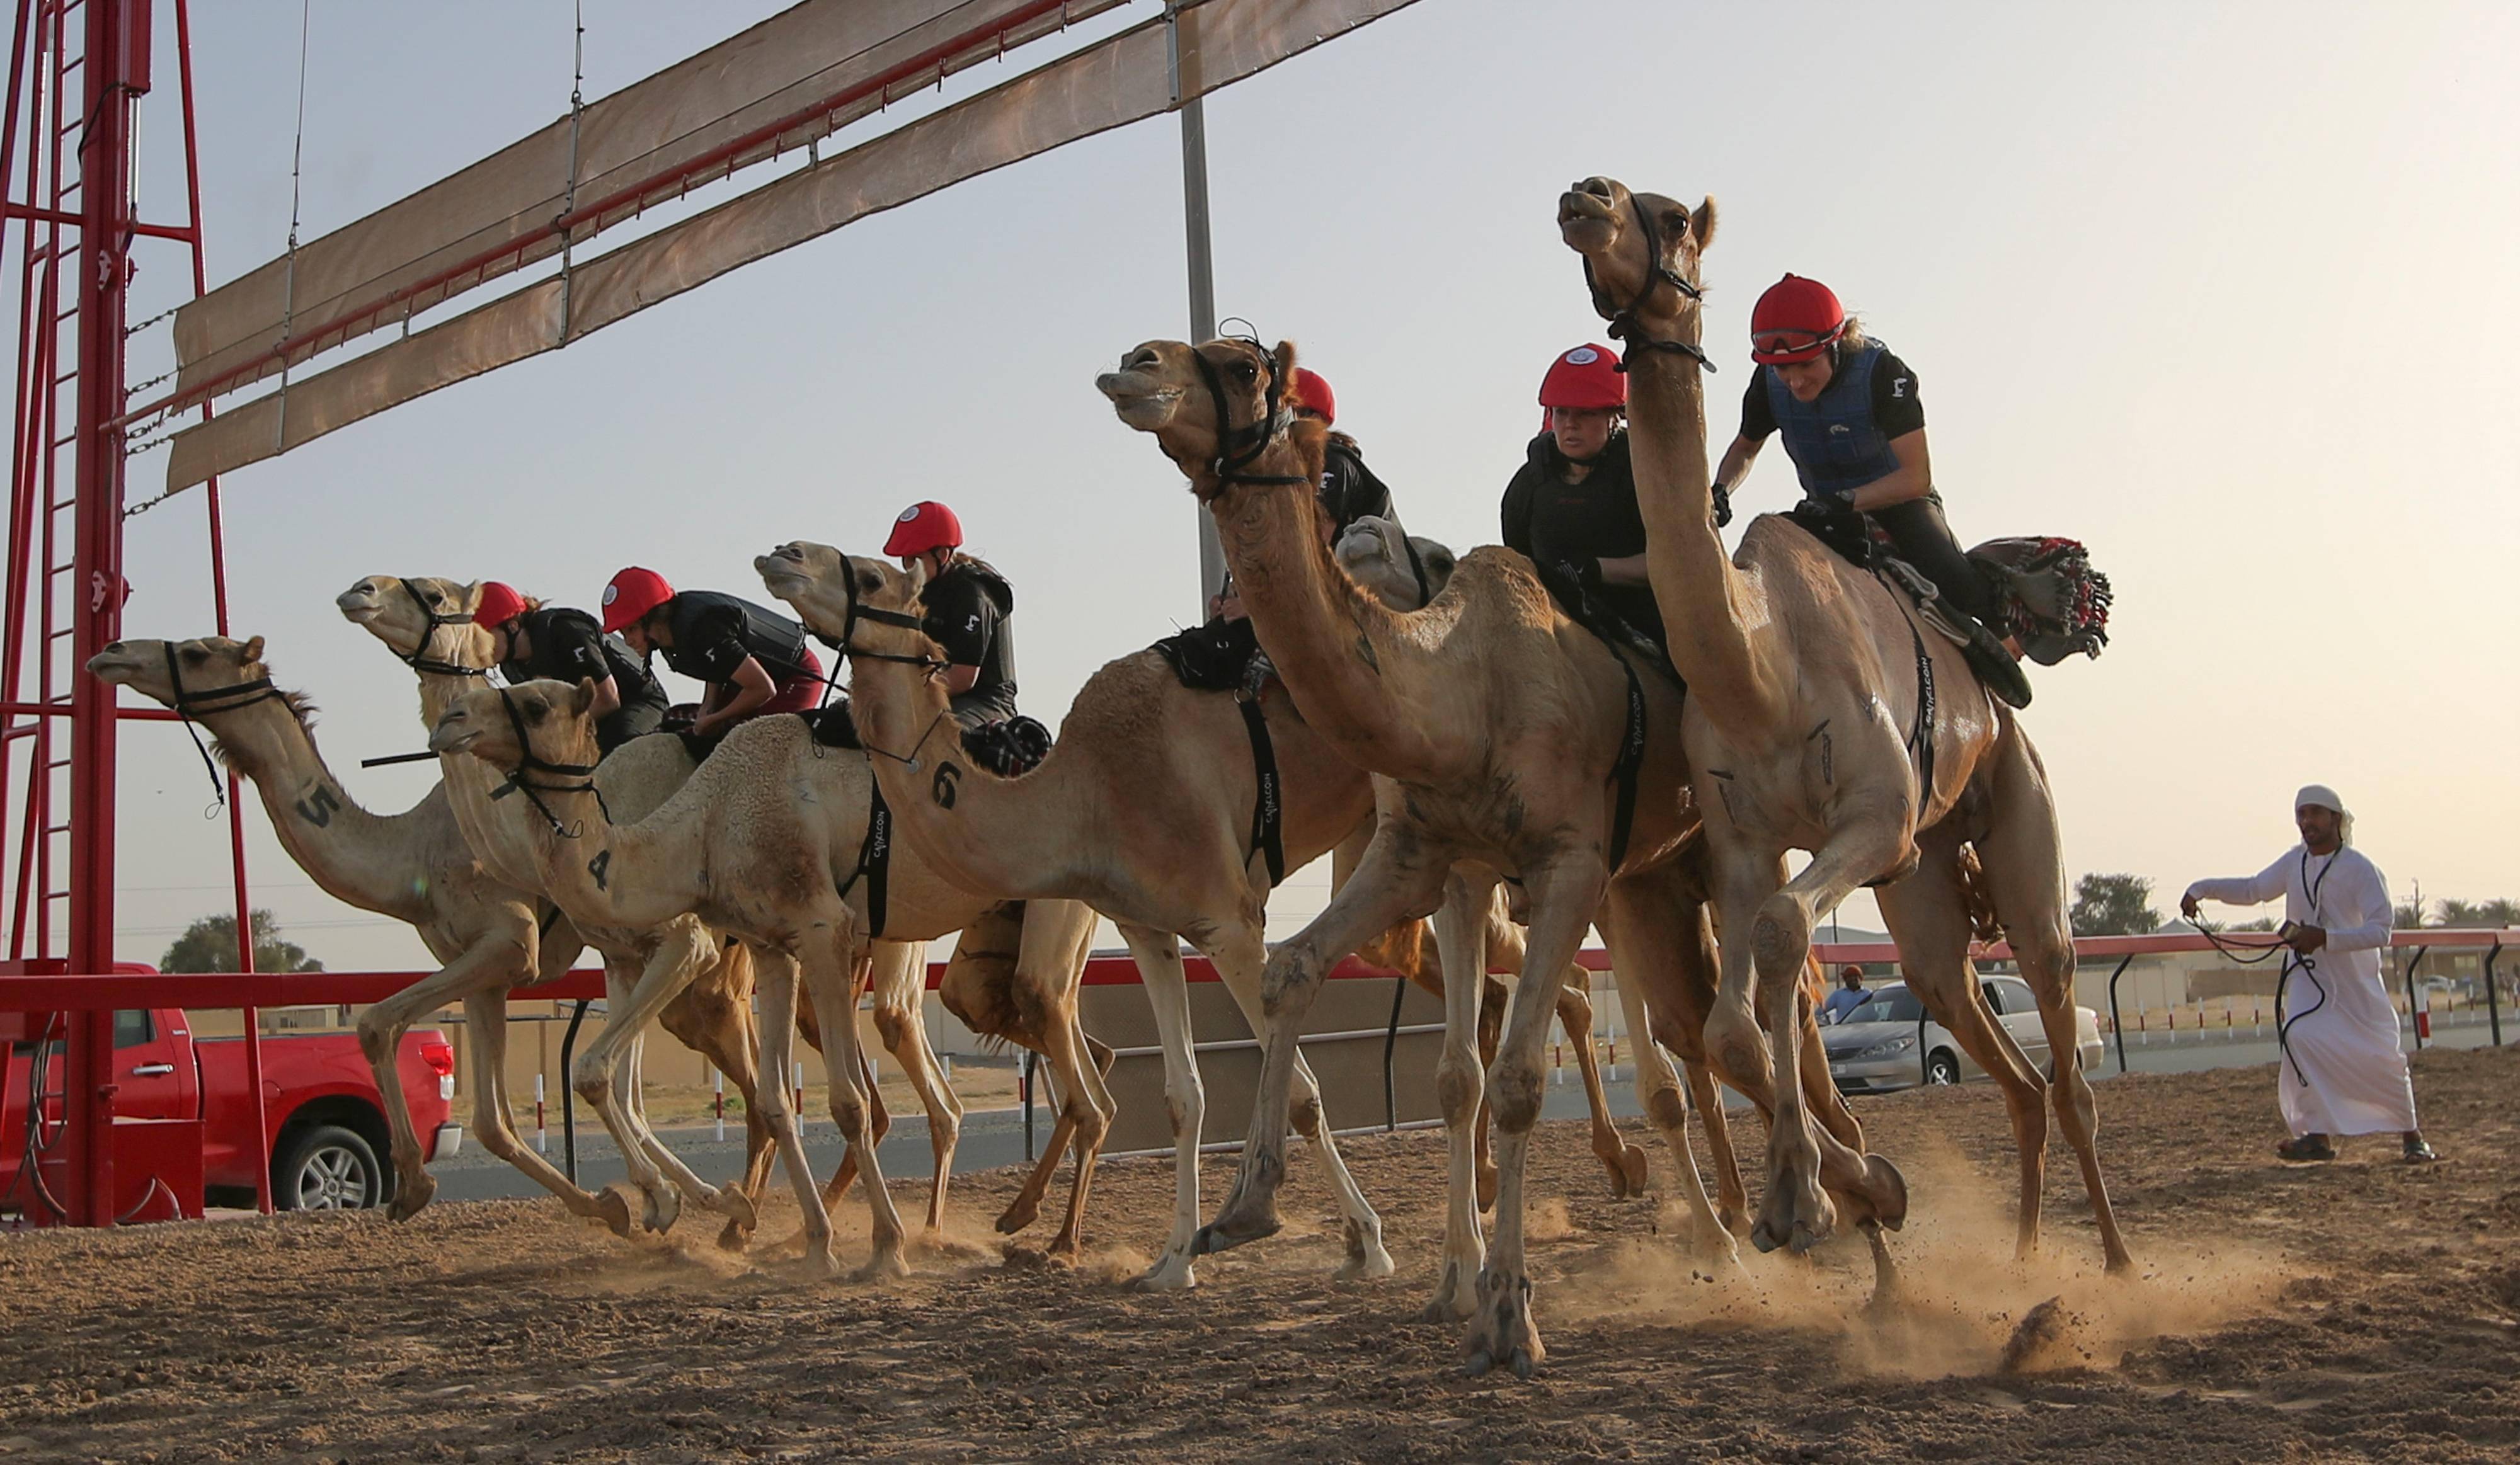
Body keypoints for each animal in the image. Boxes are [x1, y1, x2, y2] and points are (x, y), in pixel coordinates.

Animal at [343, 579, 983, 1248]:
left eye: (433, 593)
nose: (358, 592)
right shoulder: (618, 954)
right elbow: (622, 1086)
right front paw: (666, 1203)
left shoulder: (686, 947)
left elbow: (621, 1078)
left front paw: (683, 1203)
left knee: (899, 1044)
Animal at [751, 533, 1653, 1289]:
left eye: (872, 575)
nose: (780, 553)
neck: (1084, 789)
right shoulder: (1148, 925)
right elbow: (1183, 1092)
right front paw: (1173, 1260)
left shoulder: (1228, 917)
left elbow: (1301, 1090)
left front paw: (1364, 1242)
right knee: (1535, 975)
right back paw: (1576, 1170)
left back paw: (1612, 1164)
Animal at [1094, 334, 1895, 1379]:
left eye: (1241, 367)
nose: (1135, 363)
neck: (1467, 695)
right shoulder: (1436, 862)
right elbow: (1358, 1013)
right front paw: (1259, 1215)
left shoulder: (1567, 862)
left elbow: (1515, 1080)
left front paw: (1510, 1315)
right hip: (1655, 877)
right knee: (1721, 1026)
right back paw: (1829, 1201)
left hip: (1692, 855)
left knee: (1759, 1015)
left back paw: (1828, 1219)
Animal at [1552, 174, 2127, 1274]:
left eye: (1672, 217)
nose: (1583, 197)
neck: (1761, 665)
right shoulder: (1742, 842)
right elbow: (1731, 1026)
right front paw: (1860, 1192)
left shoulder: (1875, 819)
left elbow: (1784, 935)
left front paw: (1808, 1198)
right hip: (1931, 887)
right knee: (1999, 1053)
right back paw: (2025, 1255)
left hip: (2011, 828)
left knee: (2062, 1037)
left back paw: (2119, 1264)